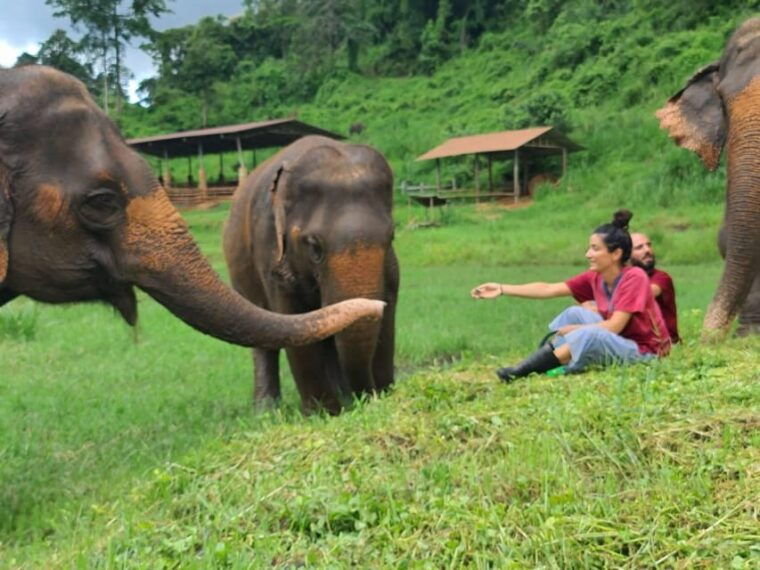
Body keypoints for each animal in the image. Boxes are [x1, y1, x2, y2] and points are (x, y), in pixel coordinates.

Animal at [223, 136, 399, 414]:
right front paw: (324, 413)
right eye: (315, 247)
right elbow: (292, 318)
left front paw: (383, 394)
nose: (368, 396)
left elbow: (387, 311)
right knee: (263, 343)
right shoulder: (270, 250)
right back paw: (266, 411)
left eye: (391, 237)